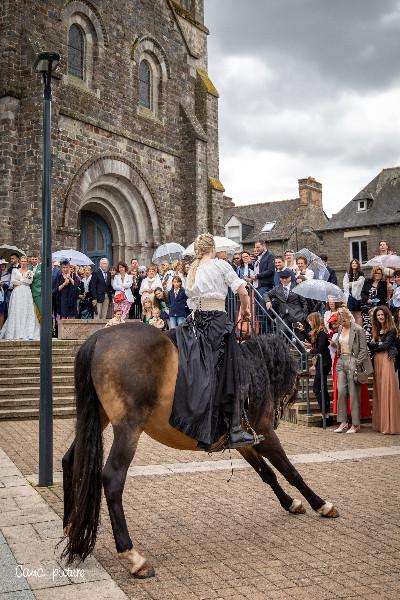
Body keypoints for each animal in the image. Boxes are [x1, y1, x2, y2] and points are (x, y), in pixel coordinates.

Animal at [61, 322, 338, 580]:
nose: (284, 409)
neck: (252, 368)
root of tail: (97, 339)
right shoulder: (265, 433)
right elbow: (290, 470)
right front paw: (321, 504)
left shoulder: (245, 440)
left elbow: (267, 473)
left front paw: (290, 502)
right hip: (129, 428)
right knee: (112, 478)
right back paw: (133, 557)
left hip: (98, 417)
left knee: (70, 461)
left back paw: (70, 526)